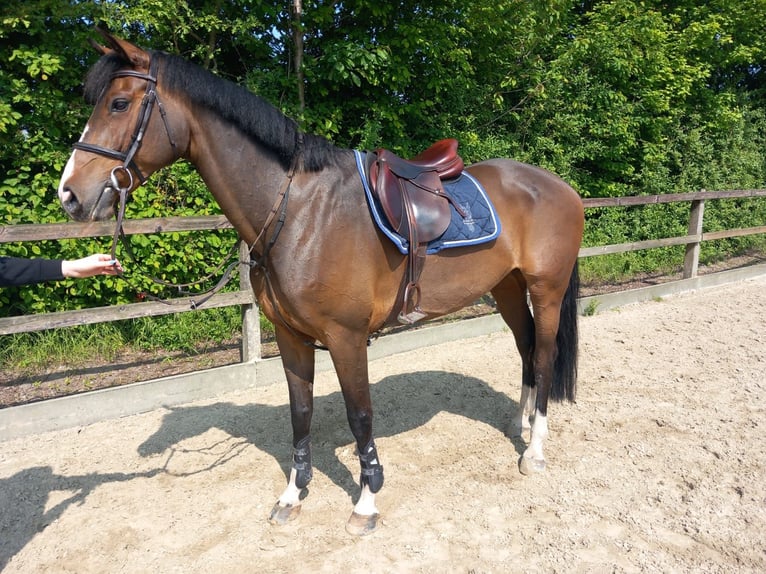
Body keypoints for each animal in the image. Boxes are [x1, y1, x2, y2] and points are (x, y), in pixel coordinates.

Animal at [57, 30, 584, 536]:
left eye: (118, 103)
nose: (69, 195)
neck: (298, 213)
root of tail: (559, 185)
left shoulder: (346, 337)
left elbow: (360, 415)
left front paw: (366, 501)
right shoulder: (291, 336)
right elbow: (301, 412)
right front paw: (292, 495)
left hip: (546, 289)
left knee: (543, 354)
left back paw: (534, 450)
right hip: (507, 287)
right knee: (525, 349)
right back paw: (518, 425)